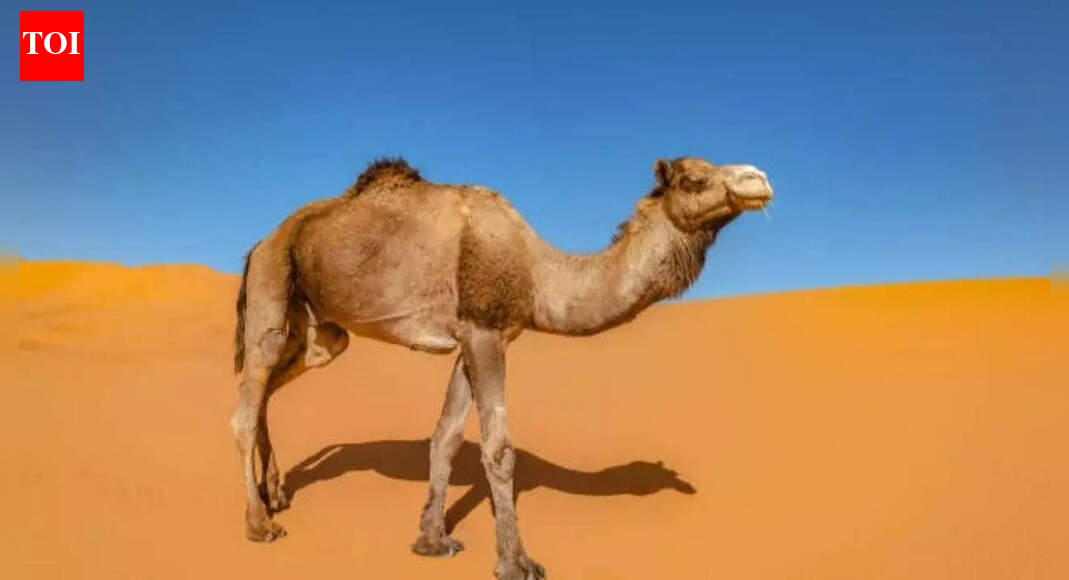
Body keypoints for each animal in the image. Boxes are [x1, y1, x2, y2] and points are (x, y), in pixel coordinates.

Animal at [231, 156, 773, 579]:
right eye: (693, 179)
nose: (759, 178)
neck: (538, 275)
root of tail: (259, 242)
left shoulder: (475, 338)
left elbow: (446, 436)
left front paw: (431, 540)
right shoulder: (485, 332)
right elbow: (498, 448)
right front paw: (517, 563)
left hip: (321, 333)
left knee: (269, 390)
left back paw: (276, 494)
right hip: (271, 285)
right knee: (245, 407)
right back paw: (260, 524)